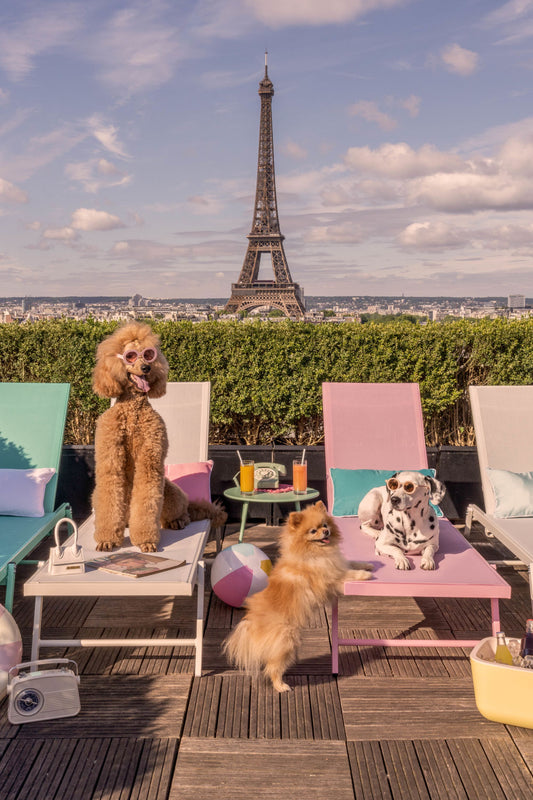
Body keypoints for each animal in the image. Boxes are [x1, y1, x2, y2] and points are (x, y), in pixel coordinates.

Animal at [222, 500, 372, 692]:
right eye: (313, 531)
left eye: (325, 525)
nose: (326, 532)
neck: (314, 553)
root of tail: (253, 624)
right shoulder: (331, 579)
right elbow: (348, 574)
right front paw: (364, 575)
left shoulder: (337, 564)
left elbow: (351, 563)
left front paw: (368, 564)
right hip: (287, 642)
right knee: (273, 668)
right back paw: (281, 686)